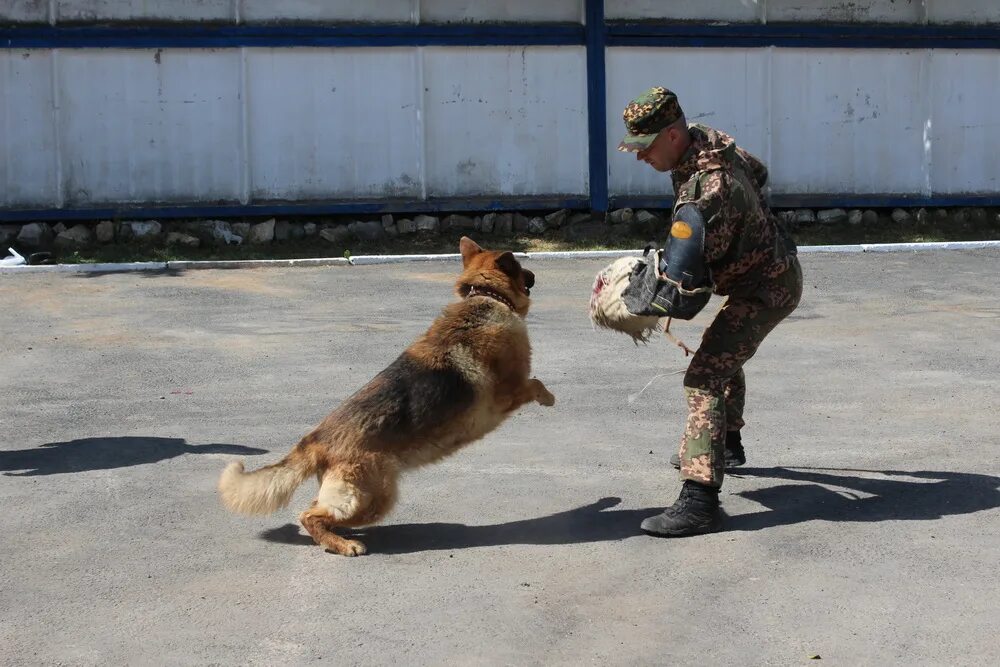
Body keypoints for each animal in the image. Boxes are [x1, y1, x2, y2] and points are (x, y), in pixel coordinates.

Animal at [218, 237, 556, 556]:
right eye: (520, 268)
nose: (535, 275)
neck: (486, 297)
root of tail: (315, 439)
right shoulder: (508, 392)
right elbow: (536, 382)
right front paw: (549, 398)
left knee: (317, 511)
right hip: (373, 497)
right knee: (308, 515)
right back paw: (343, 545)